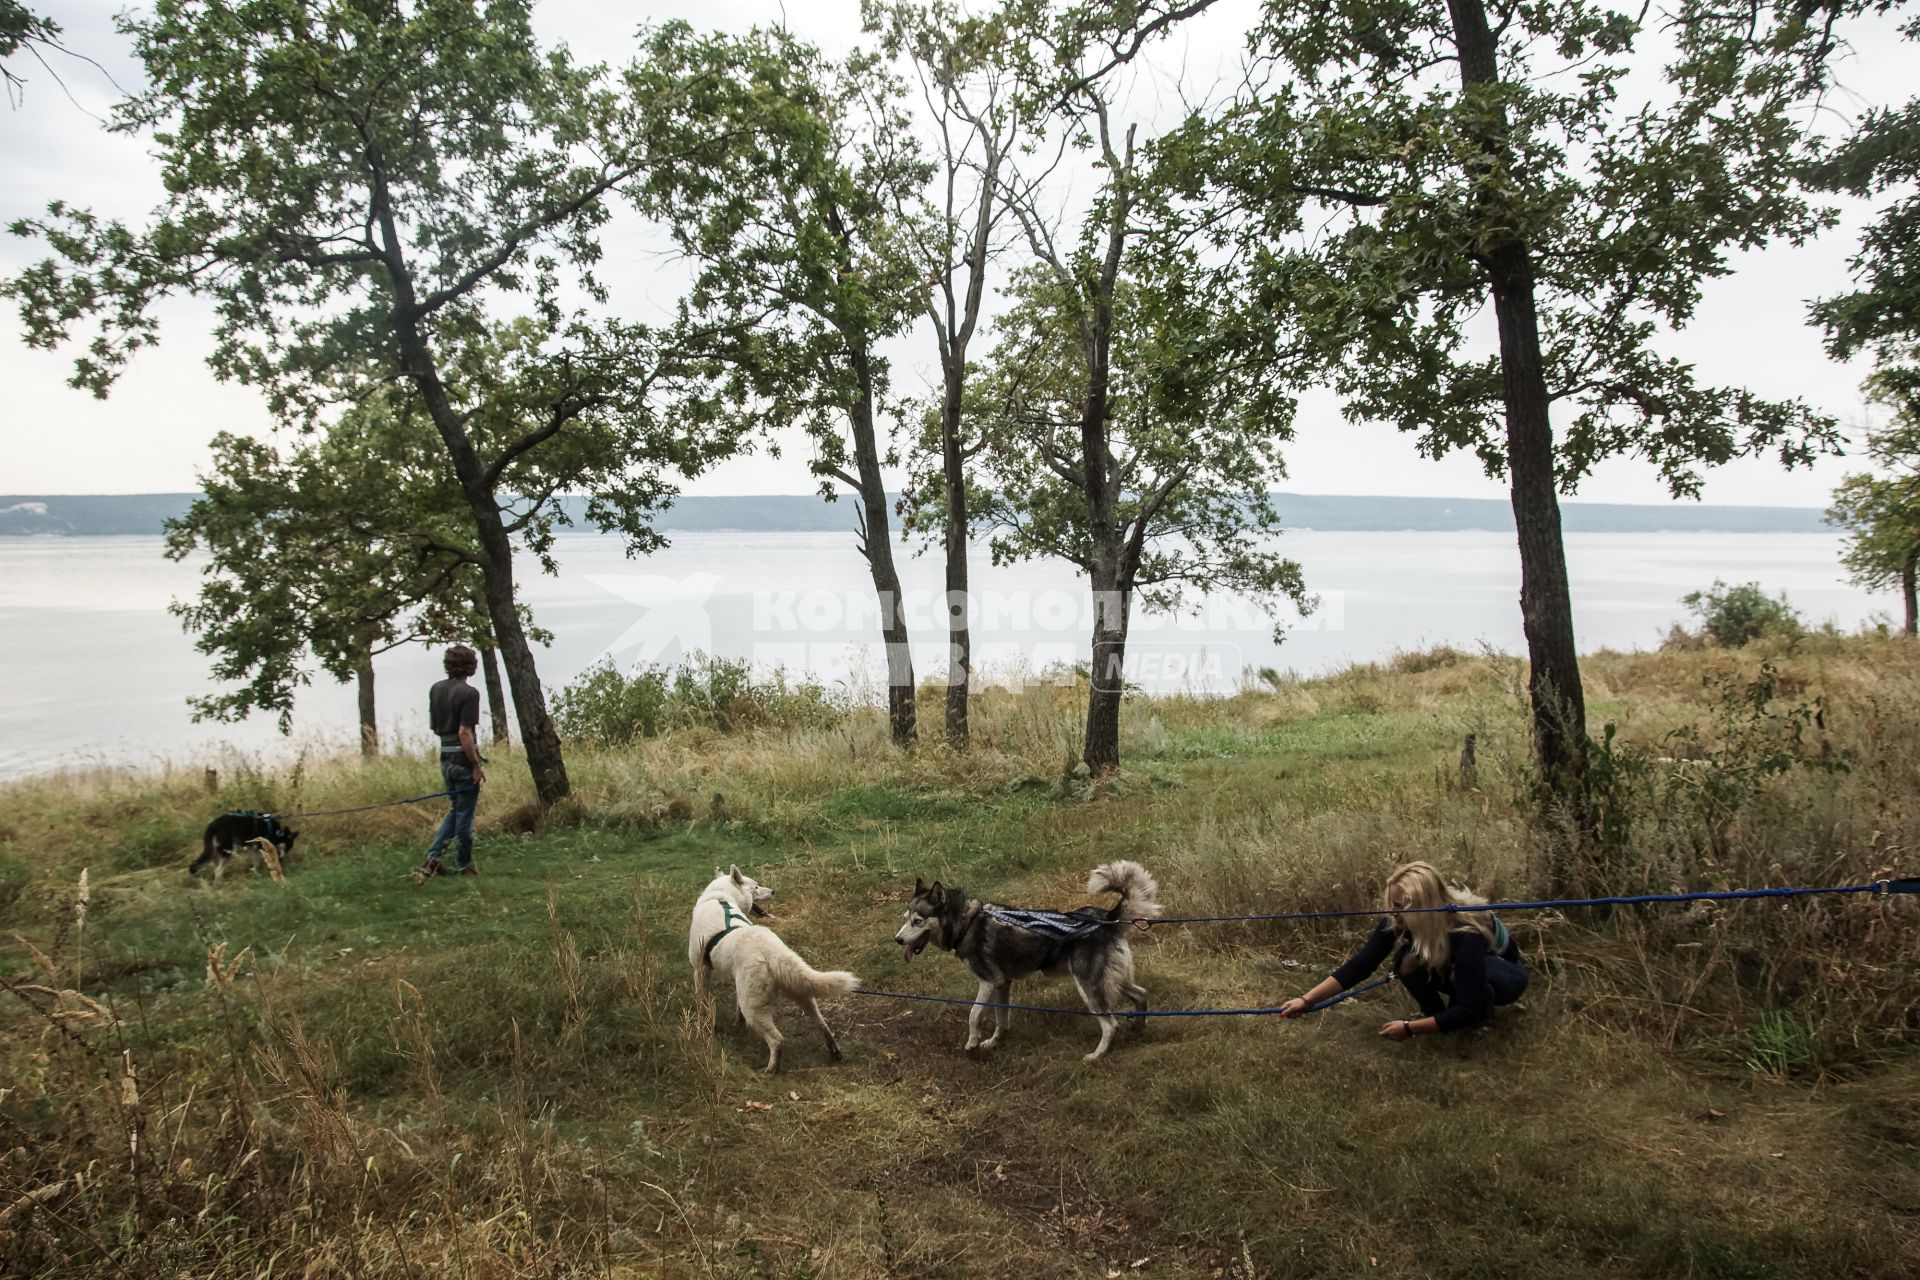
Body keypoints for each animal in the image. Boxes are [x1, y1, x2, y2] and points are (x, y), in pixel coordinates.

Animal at [687, 871, 860, 1074]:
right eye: (756, 887)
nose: (773, 891)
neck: (720, 897)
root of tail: (773, 951)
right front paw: (737, 1025)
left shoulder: (700, 970)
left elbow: (702, 1000)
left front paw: (705, 1022)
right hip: (799, 993)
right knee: (822, 1023)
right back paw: (834, 1052)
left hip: (753, 1009)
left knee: (777, 1040)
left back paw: (771, 1070)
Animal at [890, 867, 1159, 1066]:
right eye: (904, 919)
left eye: (918, 921)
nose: (898, 940)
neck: (967, 922)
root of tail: (1108, 917)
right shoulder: (1002, 983)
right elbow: (1001, 1018)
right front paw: (994, 1042)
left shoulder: (989, 981)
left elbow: (973, 1015)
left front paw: (972, 1043)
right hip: (1114, 979)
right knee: (1141, 993)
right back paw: (1138, 1026)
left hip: (1089, 987)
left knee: (1110, 1025)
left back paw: (1097, 1055)